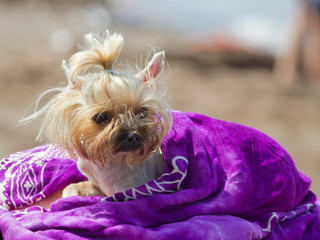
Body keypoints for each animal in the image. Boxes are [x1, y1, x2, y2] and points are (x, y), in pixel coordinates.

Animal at [22, 30, 172, 198]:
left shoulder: (130, 189)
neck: (112, 161)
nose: (134, 135)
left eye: (143, 112)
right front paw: (72, 191)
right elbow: (75, 186)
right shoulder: (96, 185)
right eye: (101, 117)